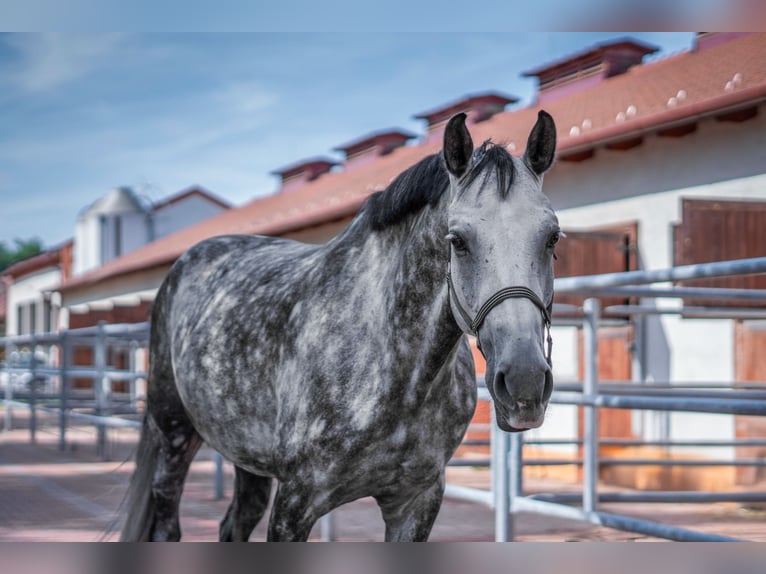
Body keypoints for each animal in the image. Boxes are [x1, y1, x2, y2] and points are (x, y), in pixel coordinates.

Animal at [123, 111, 560, 544]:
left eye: (553, 238)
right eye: (457, 240)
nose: (524, 381)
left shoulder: (415, 503)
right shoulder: (296, 504)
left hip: (246, 455)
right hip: (174, 435)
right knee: (167, 524)